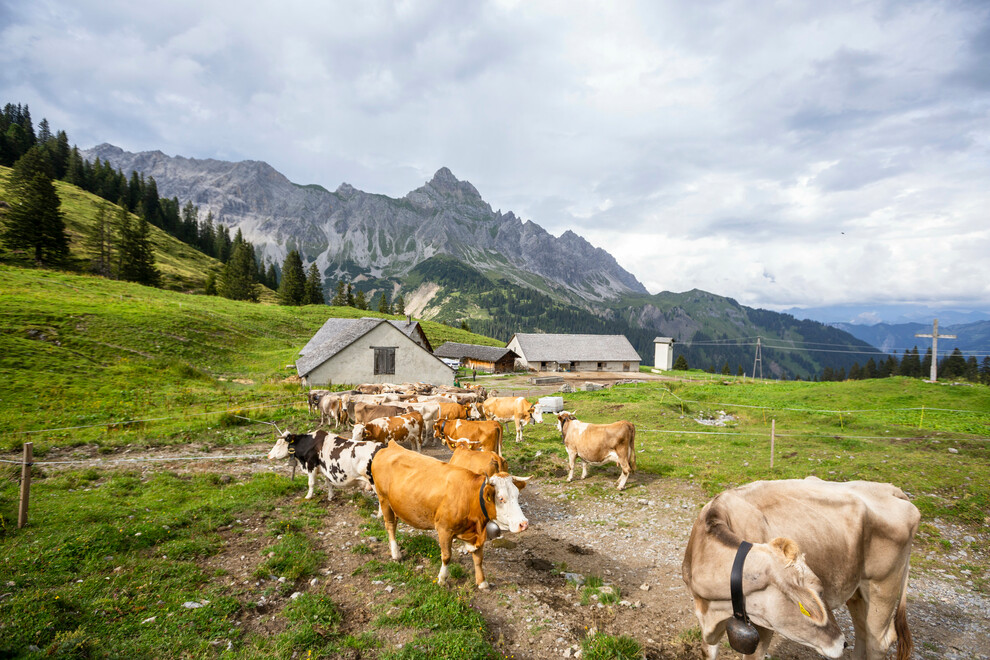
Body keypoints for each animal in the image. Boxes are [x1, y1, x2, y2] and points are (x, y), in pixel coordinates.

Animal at [371, 441, 530, 589]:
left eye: (517, 495)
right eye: (501, 498)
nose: (524, 523)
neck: (469, 497)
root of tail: (391, 445)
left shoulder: (476, 533)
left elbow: (479, 558)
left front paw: (482, 582)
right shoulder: (444, 529)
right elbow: (447, 556)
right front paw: (442, 579)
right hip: (383, 499)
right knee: (390, 525)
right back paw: (396, 554)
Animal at [681, 477, 920, 660]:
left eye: (821, 591)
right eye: (816, 596)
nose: (842, 643)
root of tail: (891, 489)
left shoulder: (764, 627)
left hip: (883, 586)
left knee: (878, 641)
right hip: (858, 591)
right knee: (863, 631)